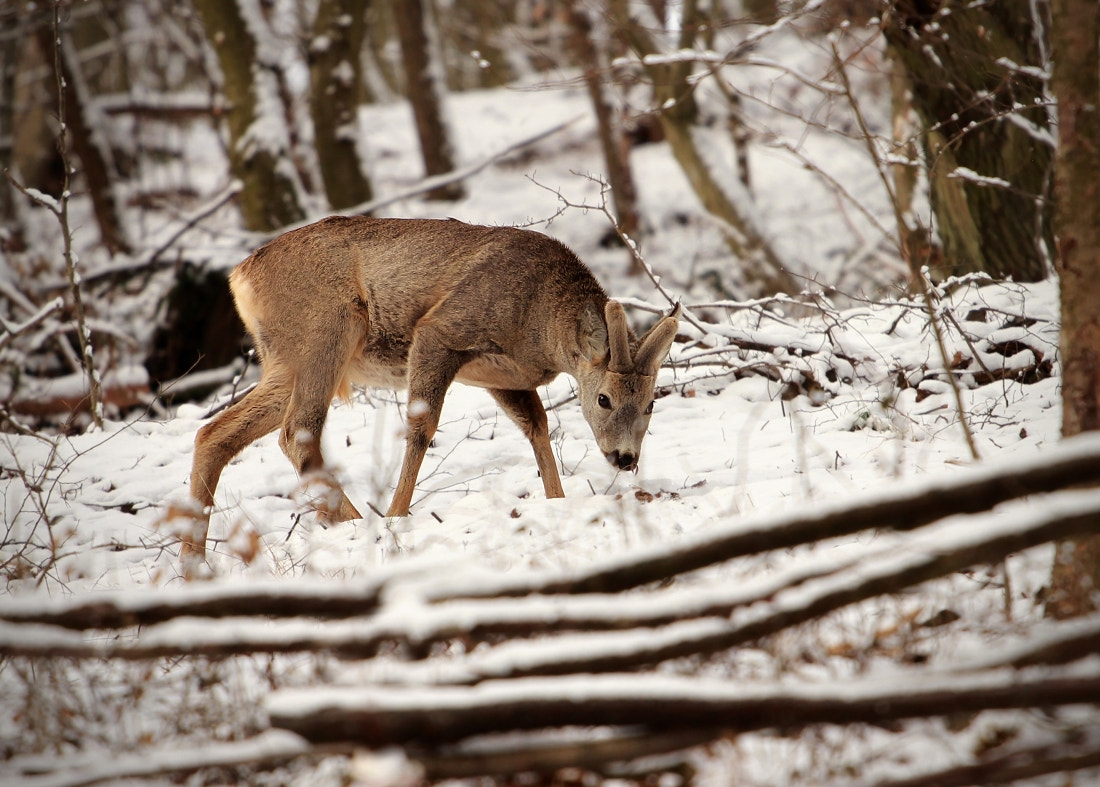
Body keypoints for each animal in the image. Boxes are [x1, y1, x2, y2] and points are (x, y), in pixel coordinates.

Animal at [184, 219, 673, 556]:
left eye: (651, 404)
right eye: (604, 398)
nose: (625, 458)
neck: (538, 326)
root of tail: (240, 276)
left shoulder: (504, 378)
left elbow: (537, 427)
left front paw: (556, 501)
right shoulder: (441, 330)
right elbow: (421, 430)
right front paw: (397, 516)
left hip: (285, 359)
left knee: (214, 433)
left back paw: (195, 563)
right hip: (326, 329)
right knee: (297, 431)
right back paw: (360, 523)